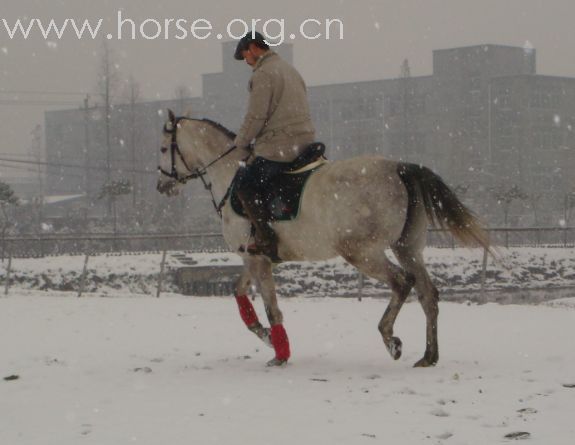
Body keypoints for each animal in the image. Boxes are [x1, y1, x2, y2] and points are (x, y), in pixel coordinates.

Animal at [158, 109, 490, 366]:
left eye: (163, 149)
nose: (163, 186)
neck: (232, 174)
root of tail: (398, 167)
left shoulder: (257, 259)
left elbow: (271, 307)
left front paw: (279, 352)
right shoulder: (254, 257)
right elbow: (239, 293)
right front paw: (266, 336)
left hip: (361, 252)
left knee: (401, 282)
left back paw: (390, 339)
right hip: (406, 248)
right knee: (427, 294)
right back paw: (429, 355)